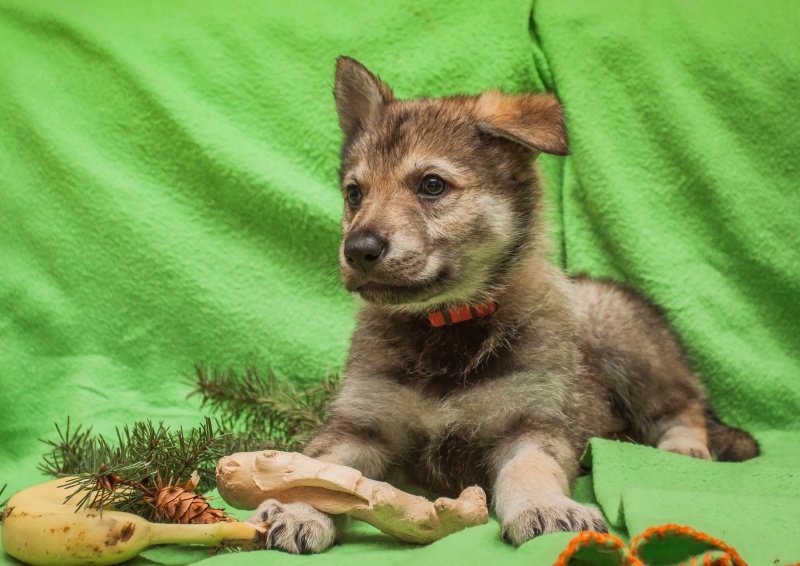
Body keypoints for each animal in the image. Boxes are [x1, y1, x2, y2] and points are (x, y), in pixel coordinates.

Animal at [247, 56, 760, 556]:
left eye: (432, 185)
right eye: (355, 193)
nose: (358, 250)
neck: (445, 326)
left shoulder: (529, 424)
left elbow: (528, 470)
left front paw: (545, 507)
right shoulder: (361, 425)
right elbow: (324, 470)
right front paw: (296, 508)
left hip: (628, 346)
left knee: (683, 403)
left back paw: (684, 447)